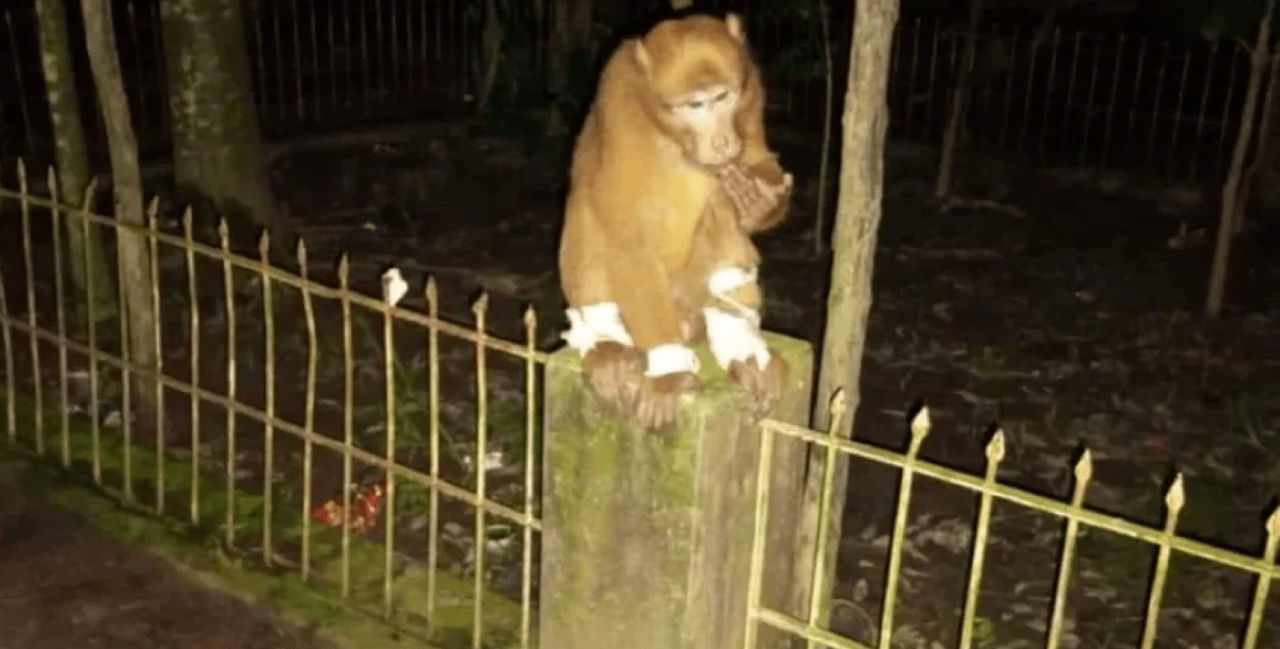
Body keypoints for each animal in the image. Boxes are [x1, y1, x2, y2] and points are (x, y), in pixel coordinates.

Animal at [557, 12, 793, 431]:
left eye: (724, 97)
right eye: (695, 105)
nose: (722, 142)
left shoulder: (751, 90)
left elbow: (755, 161)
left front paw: (760, 202)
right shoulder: (621, 99)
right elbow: (627, 234)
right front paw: (668, 373)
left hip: (692, 293)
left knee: (719, 200)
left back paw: (740, 343)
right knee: (585, 205)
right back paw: (607, 342)